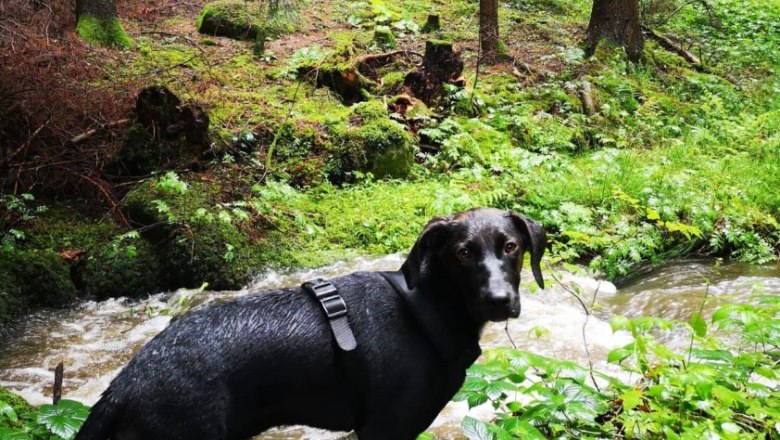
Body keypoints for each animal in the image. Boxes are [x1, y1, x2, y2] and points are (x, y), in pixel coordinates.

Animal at [76, 208, 544, 438]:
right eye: (463, 252)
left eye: (511, 246)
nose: (500, 301)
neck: (425, 309)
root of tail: (122, 387)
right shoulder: (384, 430)